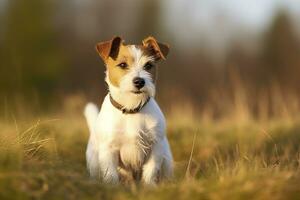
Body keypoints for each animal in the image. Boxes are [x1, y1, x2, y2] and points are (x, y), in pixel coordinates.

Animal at [84, 36, 173, 186]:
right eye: (122, 65)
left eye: (148, 65)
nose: (139, 81)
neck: (132, 108)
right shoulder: (109, 150)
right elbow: (111, 175)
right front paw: (112, 188)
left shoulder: (155, 146)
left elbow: (150, 171)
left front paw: (149, 187)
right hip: (94, 162)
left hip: (167, 159)